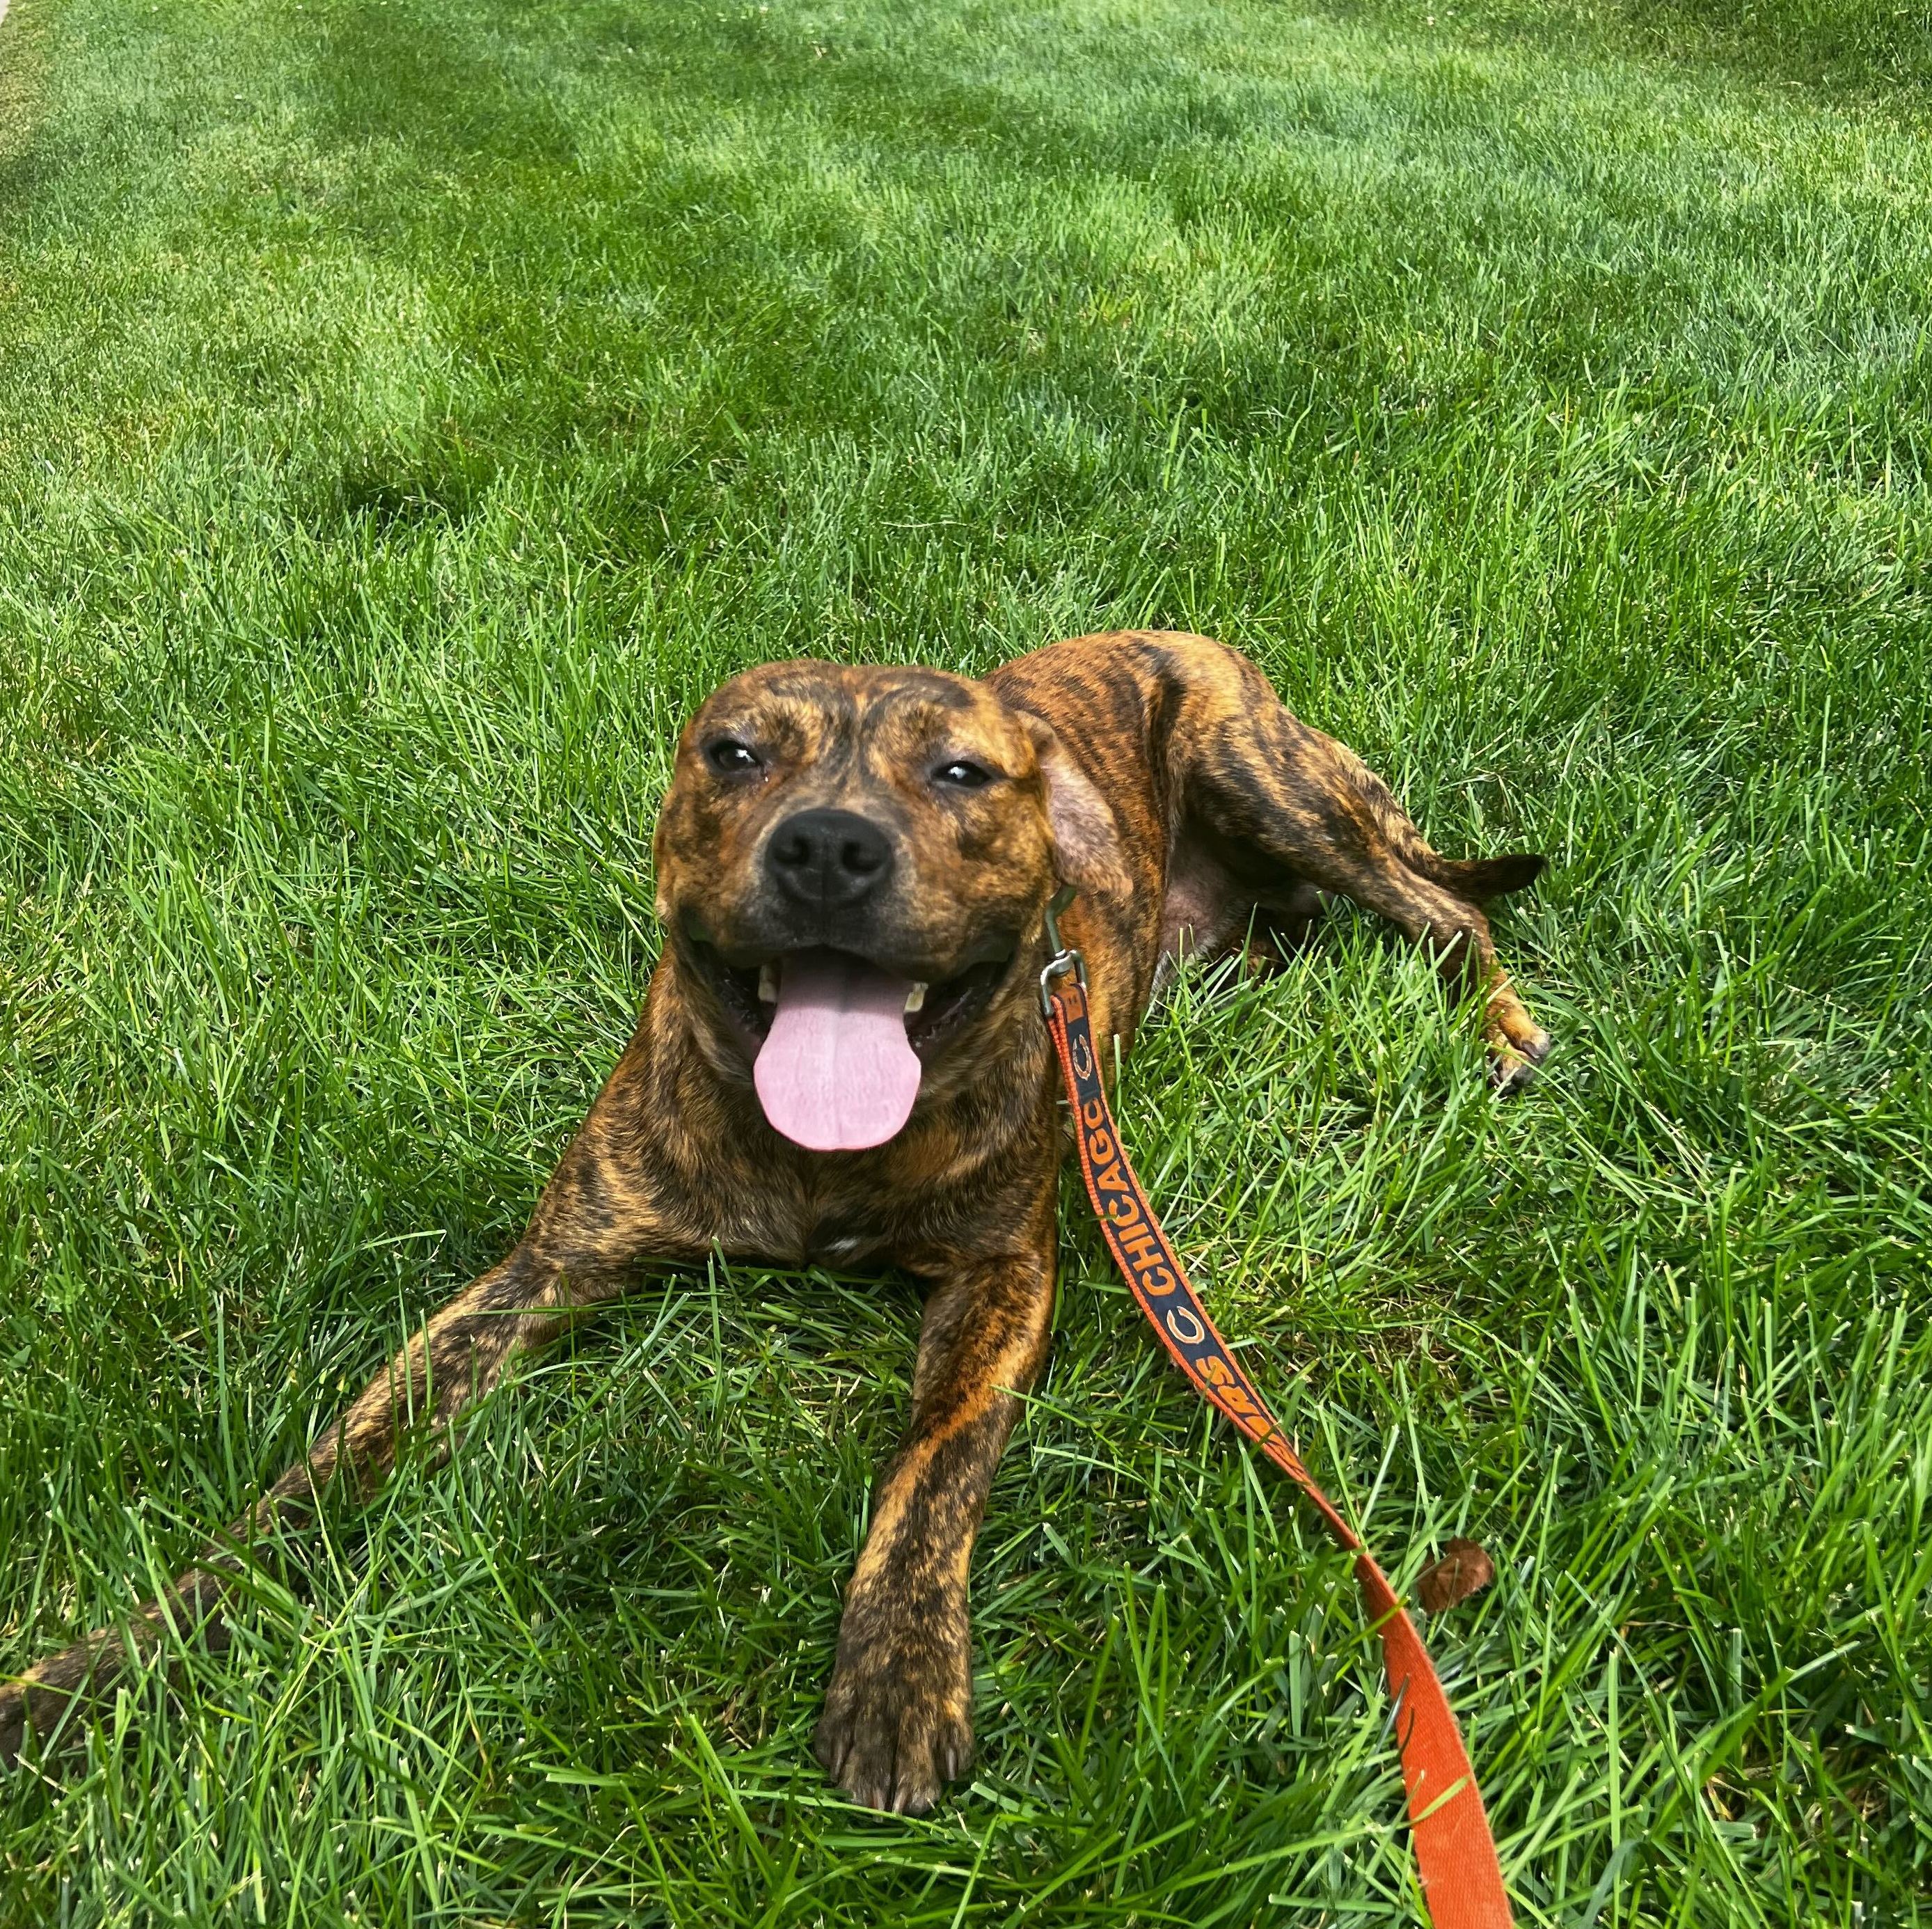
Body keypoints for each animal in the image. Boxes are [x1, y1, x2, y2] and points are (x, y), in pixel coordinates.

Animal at [0, 630, 1537, 1809]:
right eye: (734, 754)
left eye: (958, 771)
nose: (830, 846)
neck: (819, 1150)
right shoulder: (542, 1269)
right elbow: (319, 1477)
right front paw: (103, 1668)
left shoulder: (1002, 1274)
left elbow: (934, 1465)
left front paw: (896, 1681)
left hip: (1270, 780)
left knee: (1442, 907)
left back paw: (1501, 1025)